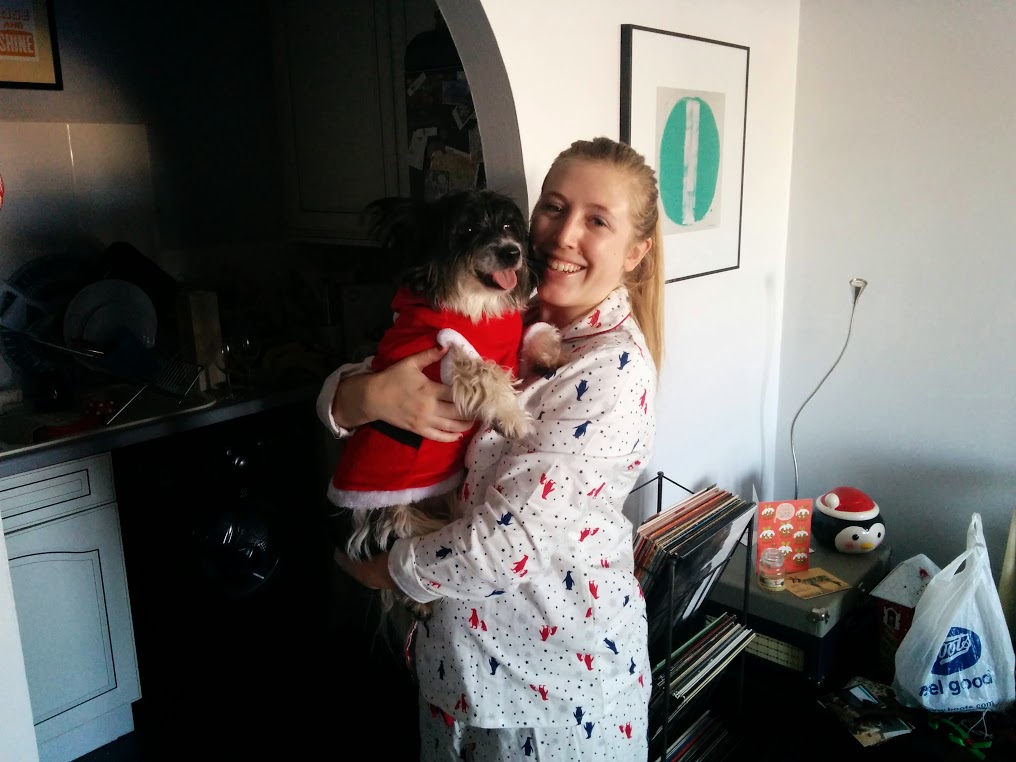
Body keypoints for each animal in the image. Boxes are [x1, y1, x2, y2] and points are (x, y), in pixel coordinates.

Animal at [327, 189, 565, 622]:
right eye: (467, 230)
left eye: (509, 225)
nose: (511, 252)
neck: (476, 304)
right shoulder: (452, 355)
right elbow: (487, 372)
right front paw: (513, 418)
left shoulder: (508, 347)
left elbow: (531, 334)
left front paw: (550, 351)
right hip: (395, 514)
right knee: (399, 553)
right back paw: (419, 602)